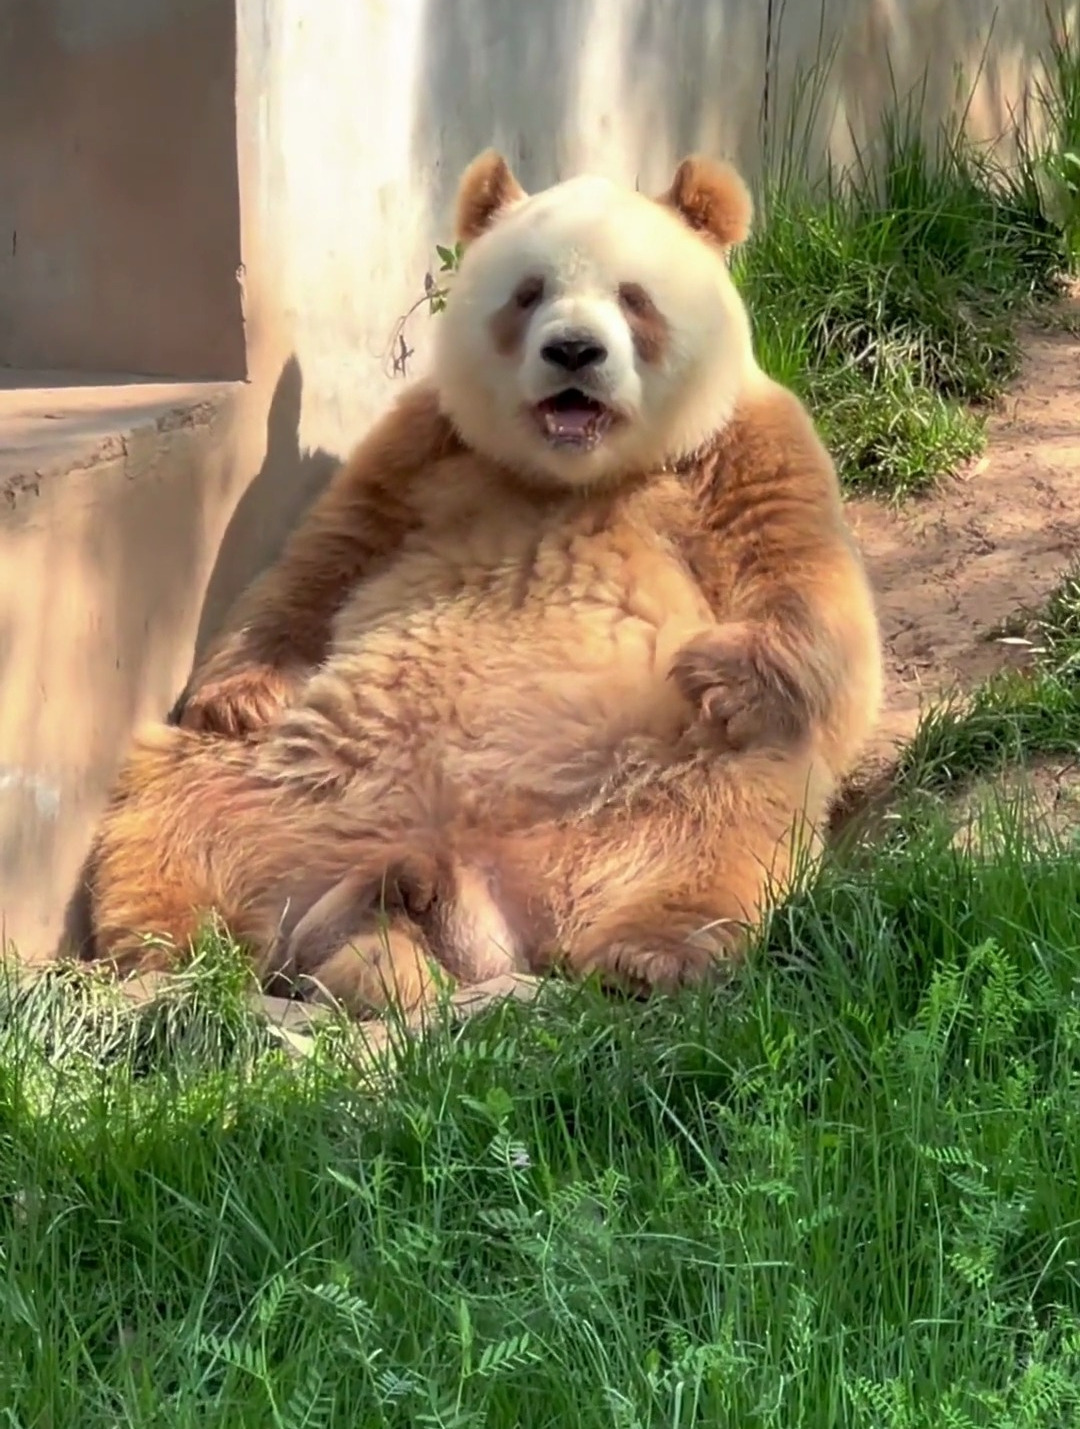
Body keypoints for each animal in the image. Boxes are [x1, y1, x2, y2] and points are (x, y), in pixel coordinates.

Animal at [81, 148, 883, 1015]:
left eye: (634, 298)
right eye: (528, 293)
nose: (574, 352)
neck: (572, 473)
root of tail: (479, 888)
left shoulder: (742, 449)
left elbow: (810, 597)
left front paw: (719, 671)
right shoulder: (423, 447)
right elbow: (321, 563)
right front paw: (239, 694)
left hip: (646, 783)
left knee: (727, 810)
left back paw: (652, 952)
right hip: (296, 784)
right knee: (180, 800)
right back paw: (175, 945)